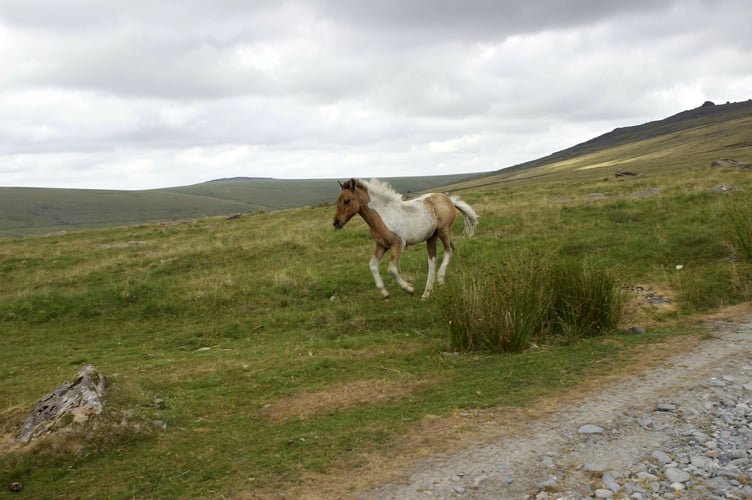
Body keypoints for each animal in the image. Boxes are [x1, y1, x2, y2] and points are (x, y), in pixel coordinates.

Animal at [332, 178, 478, 299]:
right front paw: (384, 293)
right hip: (431, 236)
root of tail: (449, 200)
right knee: (432, 260)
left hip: (444, 231)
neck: (383, 215)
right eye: (337, 201)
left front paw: (409, 289)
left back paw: (440, 281)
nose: (336, 222)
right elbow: (372, 265)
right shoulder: (381, 245)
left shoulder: (398, 244)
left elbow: (391, 269)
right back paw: (427, 293)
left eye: (347, 201)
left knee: (449, 250)